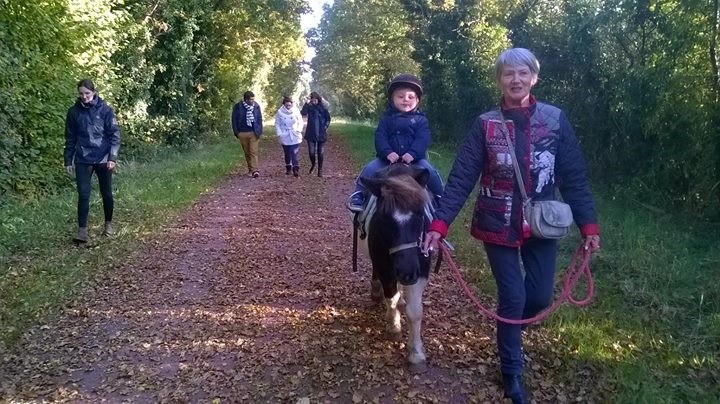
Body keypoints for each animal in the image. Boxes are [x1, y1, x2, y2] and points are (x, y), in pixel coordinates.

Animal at [356, 164, 434, 372]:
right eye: (384, 217)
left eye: (420, 214)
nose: (407, 272)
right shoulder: (385, 268)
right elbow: (390, 298)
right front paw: (394, 326)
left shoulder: (421, 272)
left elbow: (415, 311)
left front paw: (416, 354)